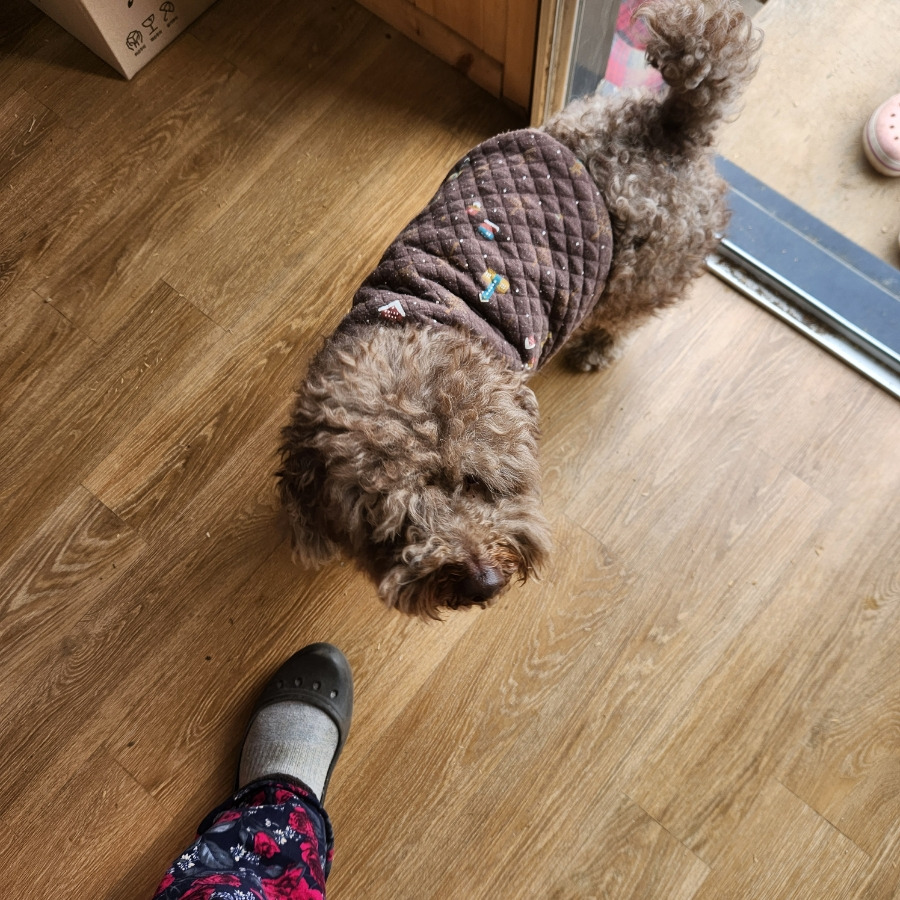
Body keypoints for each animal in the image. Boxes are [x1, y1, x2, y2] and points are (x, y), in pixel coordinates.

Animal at [277, 0, 762, 618]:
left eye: (477, 483)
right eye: (392, 524)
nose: (484, 582)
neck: (418, 314)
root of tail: (672, 125)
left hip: (642, 276)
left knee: (626, 318)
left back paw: (598, 346)